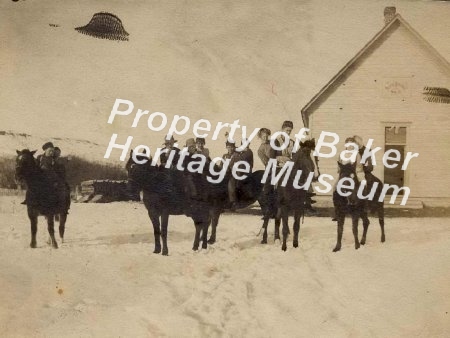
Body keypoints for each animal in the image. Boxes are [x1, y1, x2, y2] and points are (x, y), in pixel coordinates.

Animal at [127, 154, 264, 255]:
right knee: (202, 225)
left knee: (205, 224)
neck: (156, 185)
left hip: (203, 209)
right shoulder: (152, 212)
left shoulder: (165, 212)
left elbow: (164, 231)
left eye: (136, 167)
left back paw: (202, 244)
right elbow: (156, 231)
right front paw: (156, 250)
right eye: (128, 167)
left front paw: (165, 251)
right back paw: (198, 245)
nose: (130, 188)